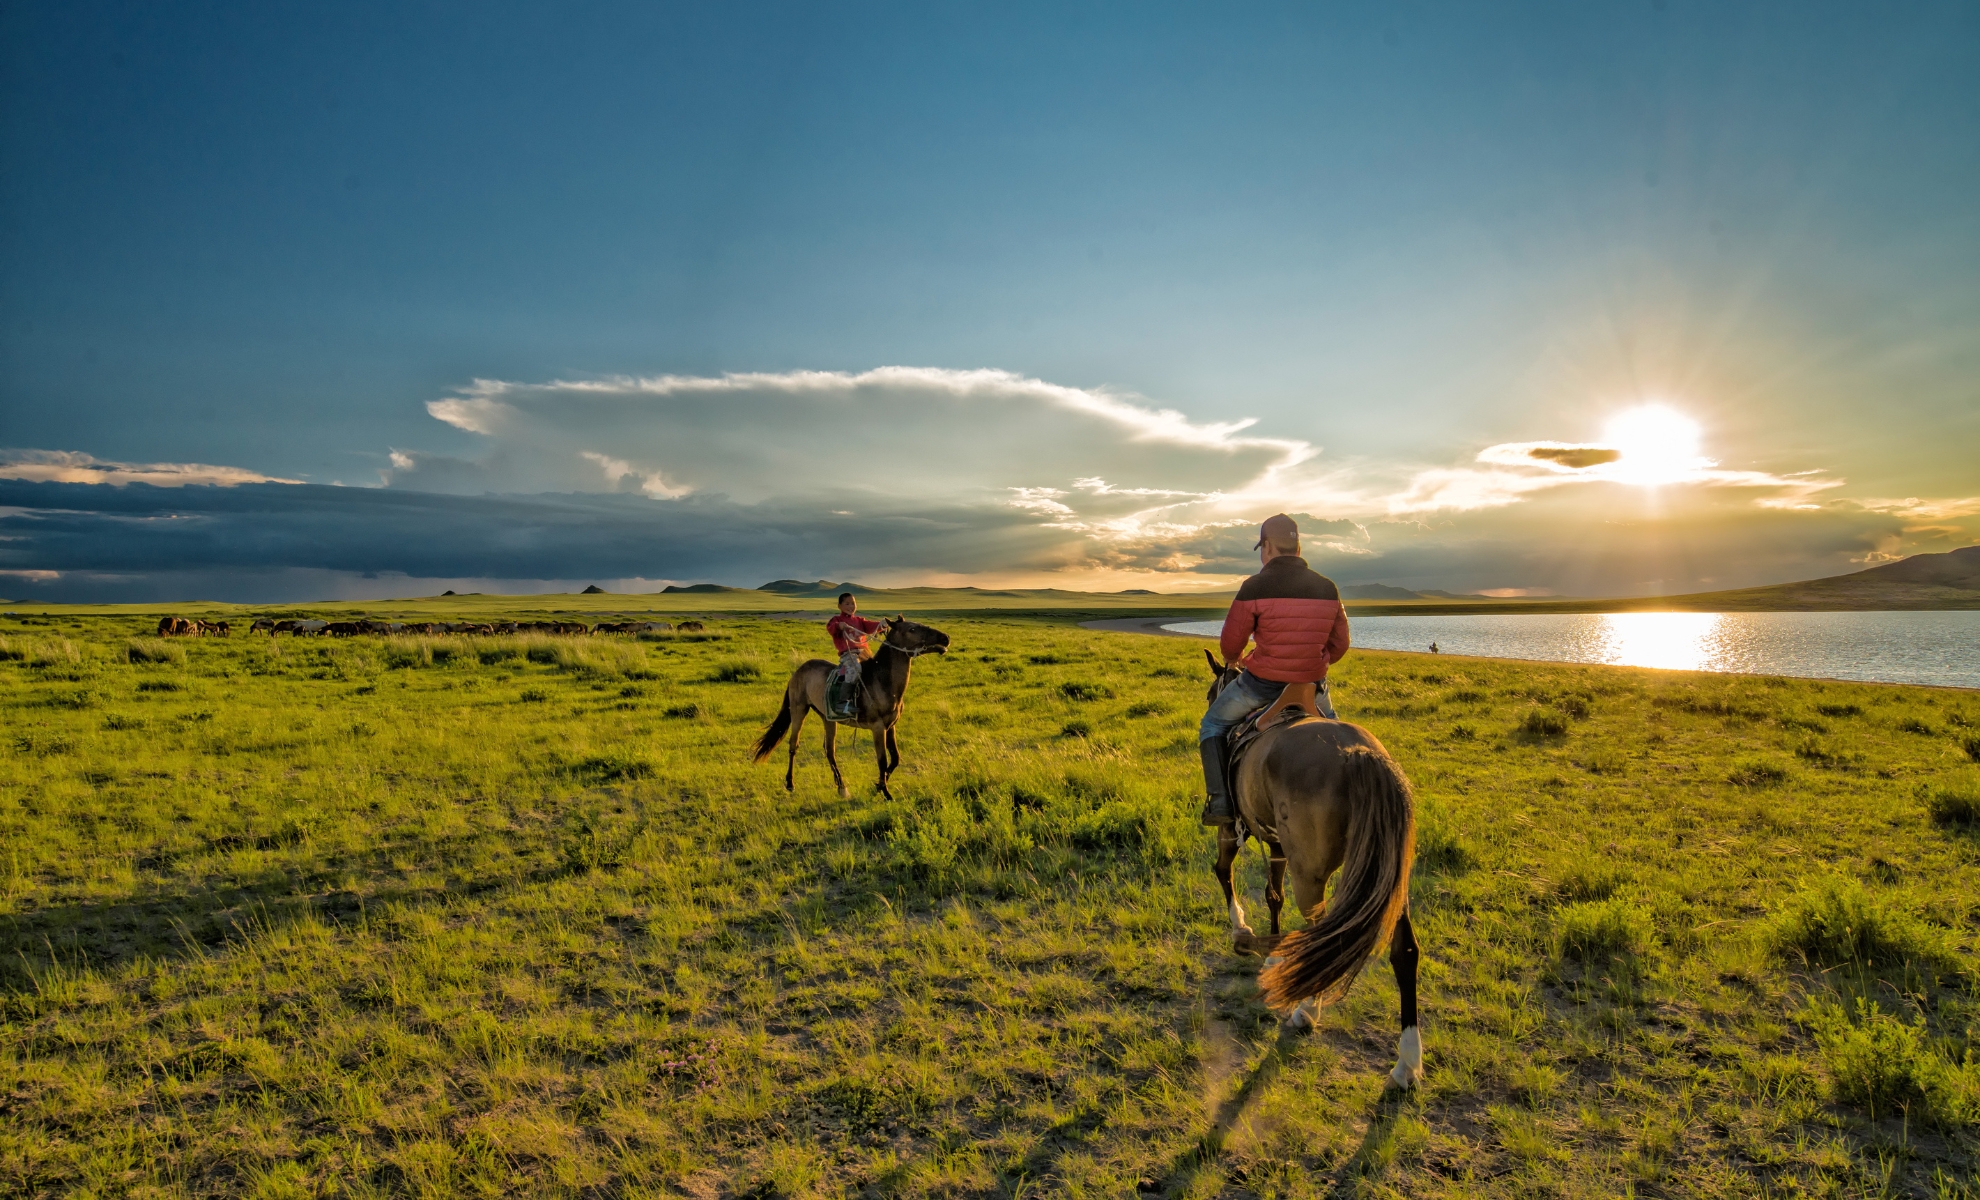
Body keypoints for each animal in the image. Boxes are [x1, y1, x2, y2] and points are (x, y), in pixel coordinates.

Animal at [748, 617, 950, 803]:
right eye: (912, 629)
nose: (945, 638)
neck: (883, 682)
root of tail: (798, 672)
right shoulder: (878, 727)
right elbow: (882, 760)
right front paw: (886, 793)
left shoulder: (891, 726)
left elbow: (895, 759)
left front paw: (878, 786)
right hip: (799, 710)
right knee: (793, 744)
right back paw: (790, 783)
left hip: (827, 718)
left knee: (829, 751)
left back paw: (841, 787)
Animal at [1195, 653, 1433, 1093]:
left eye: (1210, 693)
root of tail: (1359, 754)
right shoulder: (1275, 843)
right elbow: (1273, 894)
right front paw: (1273, 953)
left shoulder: (1232, 829)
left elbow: (1224, 872)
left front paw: (1242, 930)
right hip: (1392, 882)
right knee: (1405, 950)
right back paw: (1407, 1063)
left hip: (1312, 877)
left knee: (1325, 939)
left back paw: (1306, 1011)